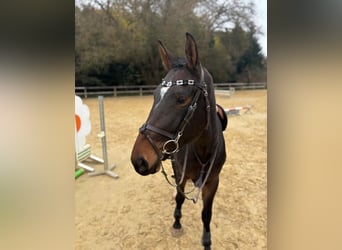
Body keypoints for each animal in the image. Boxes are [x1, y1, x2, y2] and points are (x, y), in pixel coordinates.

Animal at [131, 32, 227, 249]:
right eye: (154, 95)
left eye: (181, 99)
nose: (139, 160)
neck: (202, 150)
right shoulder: (181, 174)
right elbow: (179, 198)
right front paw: (176, 223)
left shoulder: (213, 181)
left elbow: (206, 214)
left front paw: (206, 241)